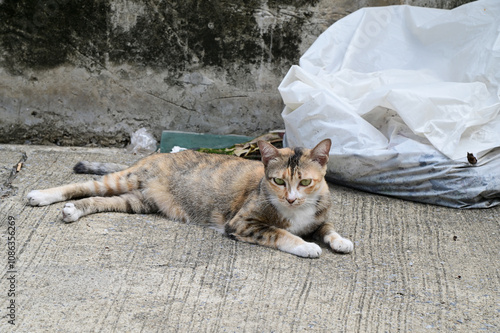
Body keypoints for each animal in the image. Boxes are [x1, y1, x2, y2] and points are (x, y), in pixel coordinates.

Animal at [27, 137, 354, 256]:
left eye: (306, 182)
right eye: (278, 181)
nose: (291, 199)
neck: (297, 212)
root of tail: (157, 155)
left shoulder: (319, 216)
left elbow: (328, 228)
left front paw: (340, 241)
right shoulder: (242, 224)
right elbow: (281, 234)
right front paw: (306, 246)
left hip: (137, 202)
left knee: (97, 200)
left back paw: (73, 211)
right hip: (125, 179)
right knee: (84, 185)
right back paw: (41, 195)